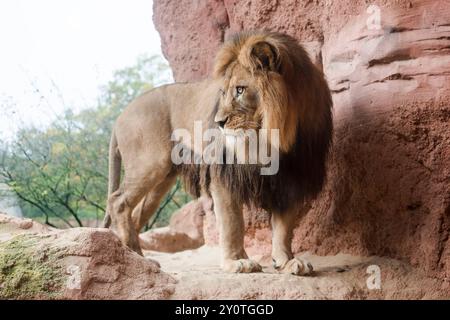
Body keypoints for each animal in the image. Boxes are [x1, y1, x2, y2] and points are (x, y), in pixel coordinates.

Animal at [103, 30, 332, 276]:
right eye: (223, 92)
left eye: (240, 90)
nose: (219, 122)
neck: (276, 135)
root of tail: (120, 115)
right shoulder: (224, 172)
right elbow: (232, 222)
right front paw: (237, 262)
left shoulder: (292, 175)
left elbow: (284, 227)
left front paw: (287, 260)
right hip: (149, 164)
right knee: (118, 201)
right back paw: (137, 258)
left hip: (162, 179)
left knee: (135, 214)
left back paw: (138, 258)